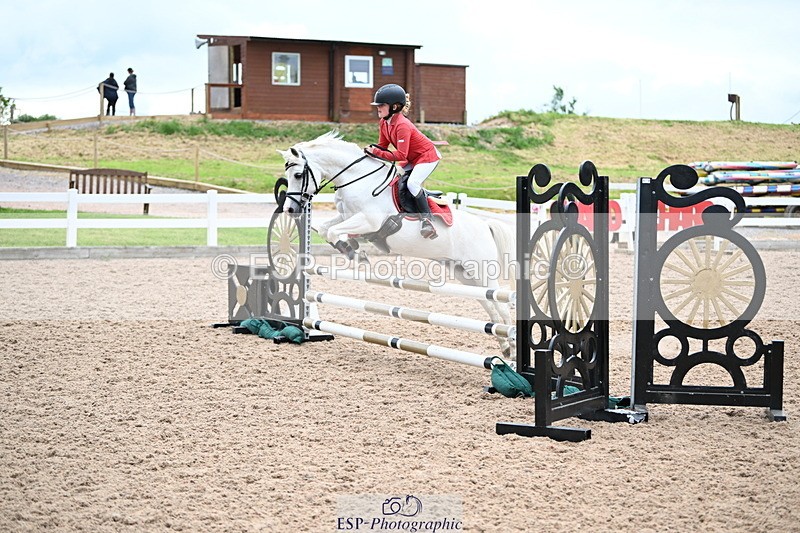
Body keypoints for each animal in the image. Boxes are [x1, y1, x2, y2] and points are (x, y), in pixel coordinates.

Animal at [278, 131, 516, 356]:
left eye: (298, 175)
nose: (290, 209)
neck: (359, 180)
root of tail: (486, 226)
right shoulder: (347, 217)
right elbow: (326, 229)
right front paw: (352, 249)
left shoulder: (369, 221)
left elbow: (334, 231)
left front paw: (354, 253)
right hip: (464, 274)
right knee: (489, 306)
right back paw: (504, 346)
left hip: (481, 271)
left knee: (502, 305)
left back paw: (512, 347)